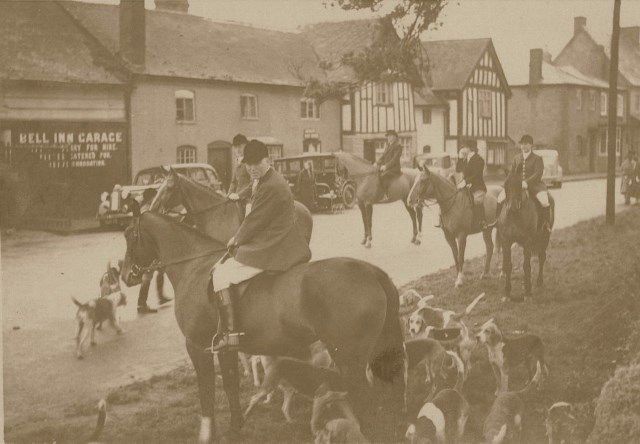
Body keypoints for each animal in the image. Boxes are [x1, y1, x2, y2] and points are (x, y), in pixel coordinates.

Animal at [121, 213, 404, 442]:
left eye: (128, 236)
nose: (126, 276)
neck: (195, 268)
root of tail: (370, 271)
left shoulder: (197, 347)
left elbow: (207, 392)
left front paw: (207, 434)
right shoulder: (225, 349)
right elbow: (231, 385)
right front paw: (235, 428)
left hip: (349, 359)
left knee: (364, 398)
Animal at [498, 173, 552, 302]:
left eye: (519, 185)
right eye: (506, 185)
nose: (512, 207)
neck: (515, 216)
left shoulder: (527, 242)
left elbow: (526, 266)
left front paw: (528, 293)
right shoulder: (506, 242)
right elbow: (508, 265)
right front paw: (507, 293)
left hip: (545, 238)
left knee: (542, 257)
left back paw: (539, 281)